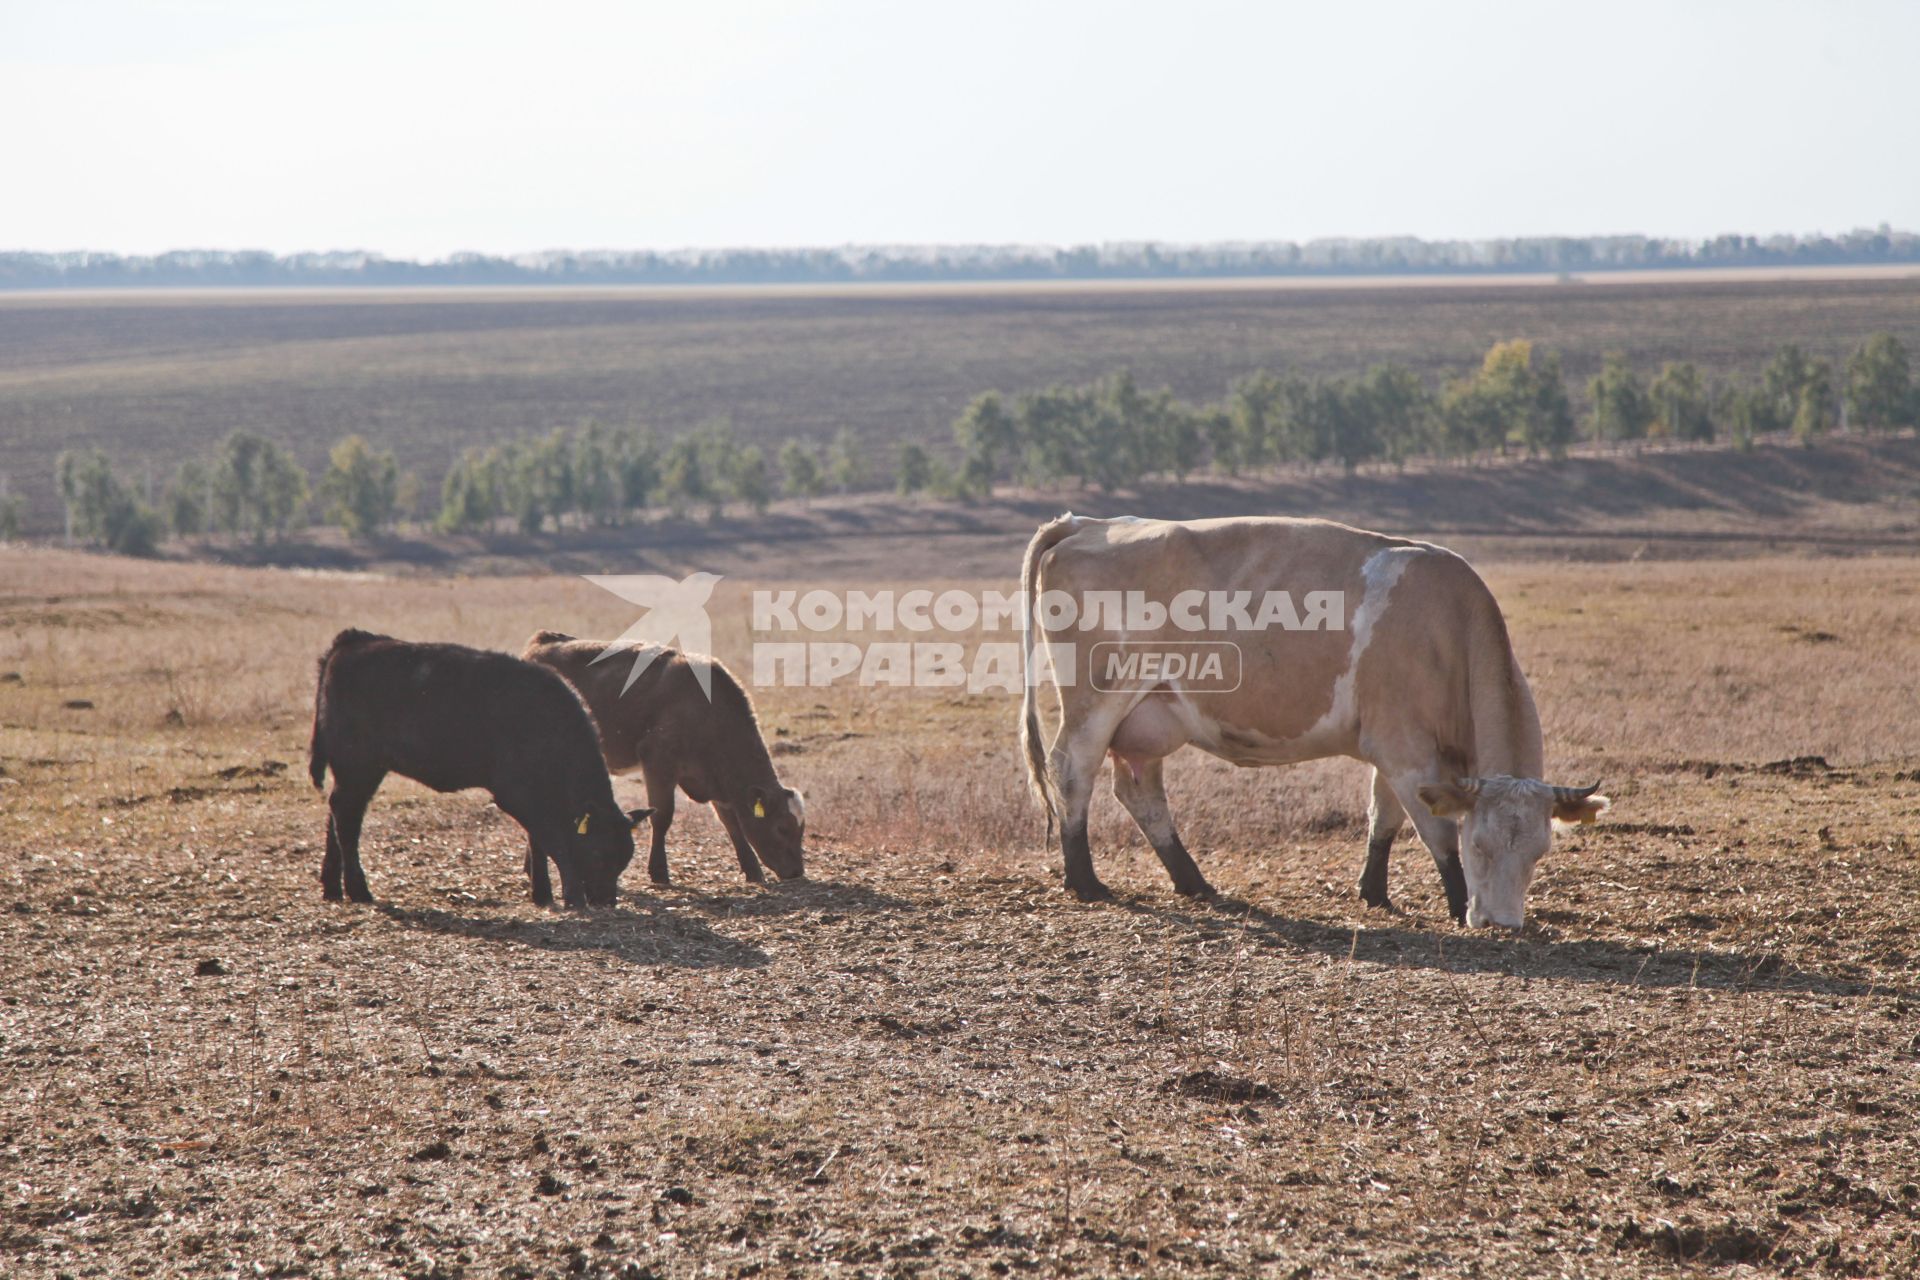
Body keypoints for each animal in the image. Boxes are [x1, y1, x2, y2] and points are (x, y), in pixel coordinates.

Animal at [307, 629, 648, 909]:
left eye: (624, 859)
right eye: (600, 854)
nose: (606, 901)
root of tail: (352, 641)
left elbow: (538, 842)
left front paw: (542, 894)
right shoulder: (516, 796)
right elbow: (554, 842)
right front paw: (572, 897)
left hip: (357, 772)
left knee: (336, 813)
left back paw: (332, 887)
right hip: (357, 766)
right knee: (346, 819)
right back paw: (358, 890)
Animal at [522, 633, 806, 890]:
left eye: (801, 829)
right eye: (782, 828)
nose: (797, 872)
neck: (706, 710)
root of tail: (542, 641)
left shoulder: (715, 778)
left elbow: (731, 823)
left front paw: (752, 870)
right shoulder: (658, 763)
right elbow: (662, 817)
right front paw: (659, 872)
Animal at [1013, 514, 1612, 924]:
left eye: (1539, 851)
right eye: (1481, 846)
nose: (1503, 924)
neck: (1446, 628)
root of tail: (1088, 524)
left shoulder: (1397, 749)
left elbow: (1383, 818)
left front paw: (1374, 892)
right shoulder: (1406, 751)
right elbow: (1435, 832)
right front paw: (1455, 901)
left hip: (1150, 716)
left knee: (1140, 792)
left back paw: (1193, 881)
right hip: (1097, 701)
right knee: (1072, 773)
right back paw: (1085, 881)